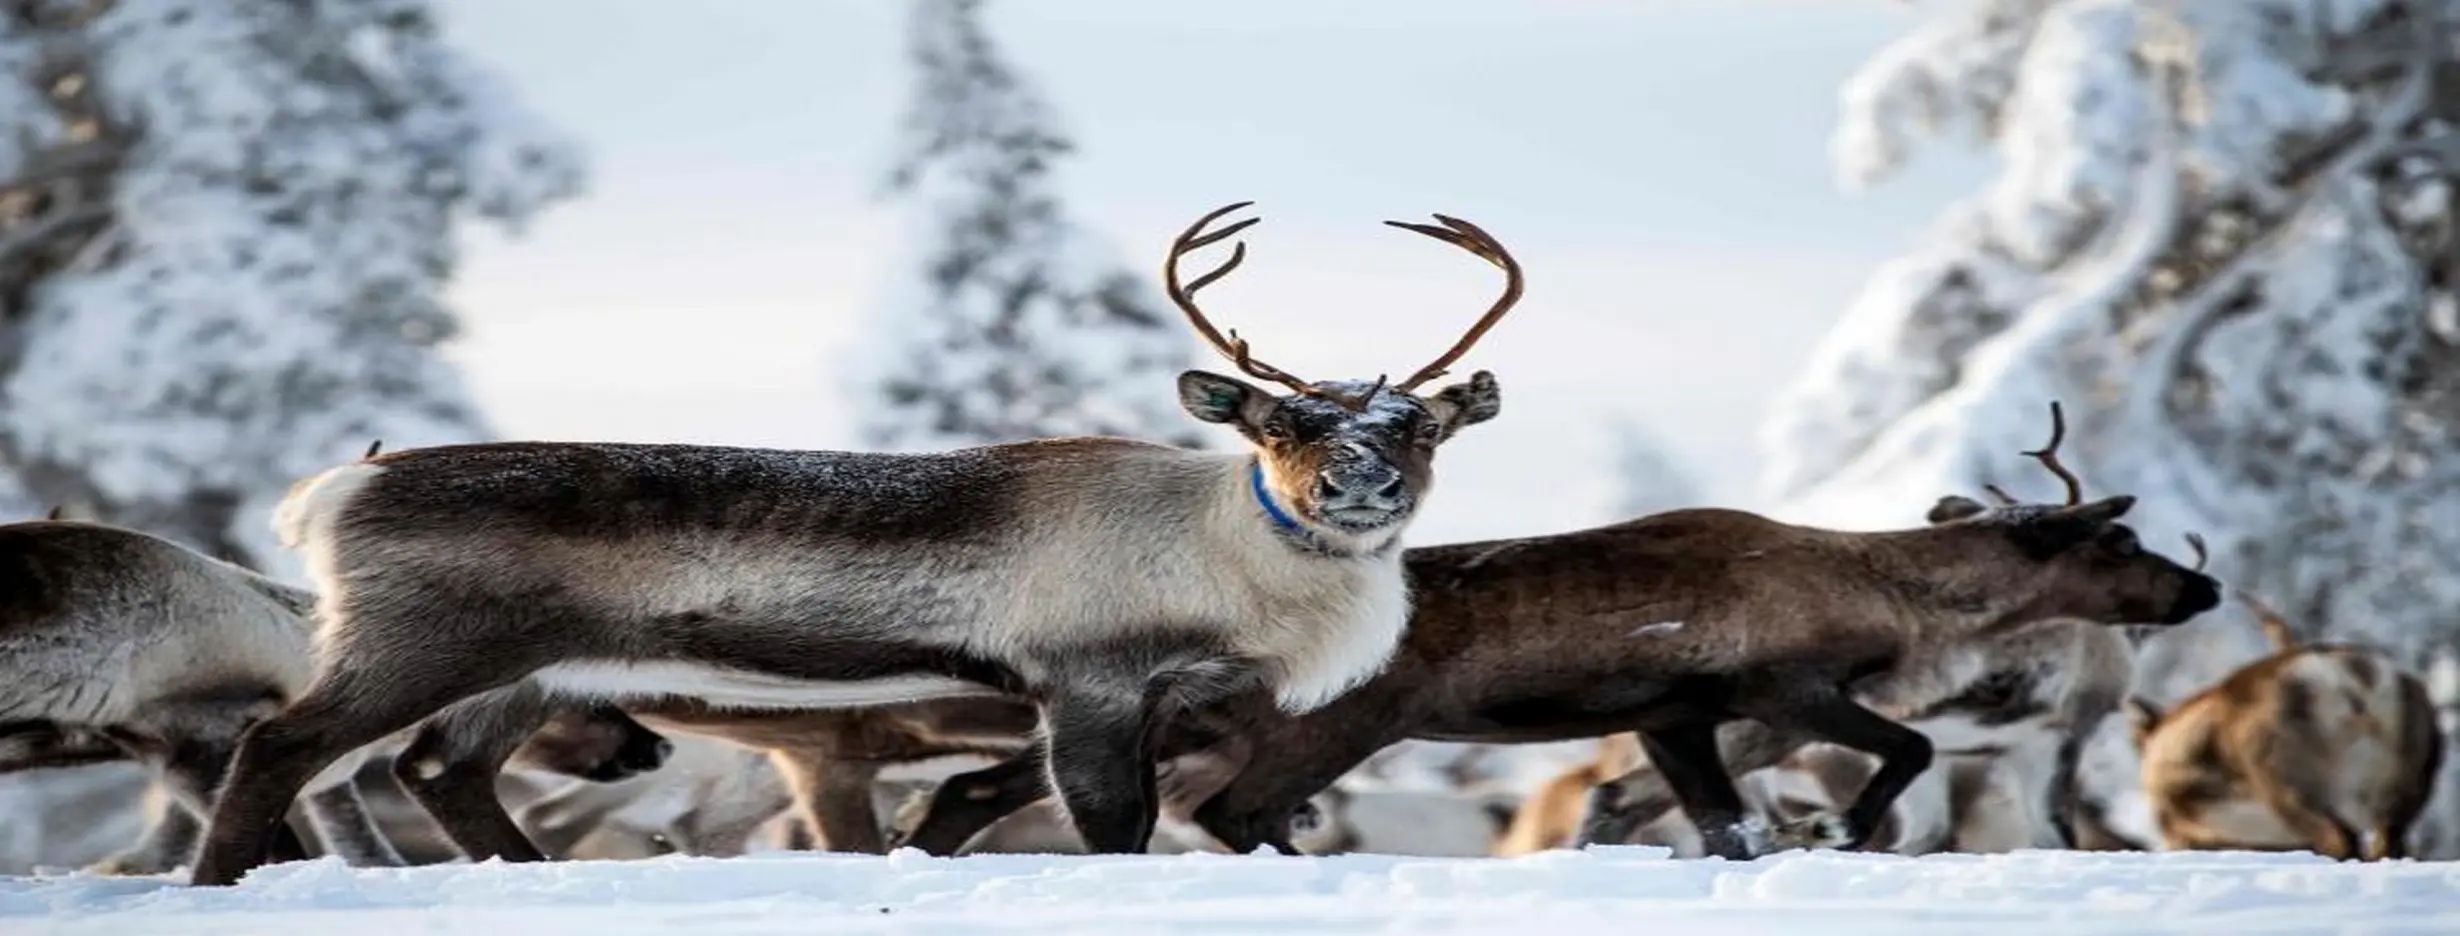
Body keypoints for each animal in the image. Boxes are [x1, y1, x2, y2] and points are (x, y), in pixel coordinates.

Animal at [183, 202, 1523, 885]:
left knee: (439, 774)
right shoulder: (1087, 682)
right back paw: (218, 886)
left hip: (527, 672)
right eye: (1280, 424)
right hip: (421, 644)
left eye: (1416, 425)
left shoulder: (1161, 695)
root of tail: (327, 494)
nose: (1357, 484)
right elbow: (1114, 826)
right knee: (282, 744)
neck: (1226, 562)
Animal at [887, 402, 2223, 860]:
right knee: (1231, 812)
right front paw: (1840, 827)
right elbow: (1908, 749)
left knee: (999, 785)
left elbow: (1723, 827)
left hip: (1201, 722)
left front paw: (1792, 836)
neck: (1889, 594)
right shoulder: (1782, 688)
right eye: (2114, 546)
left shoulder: (1679, 713)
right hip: (1326, 726)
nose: (2201, 592)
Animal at [2125, 590, 2443, 859]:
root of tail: (2353, 679)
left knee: (2340, 839)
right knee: (2386, 845)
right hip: (2401, 798)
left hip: (2290, 788)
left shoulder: (2188, 833)